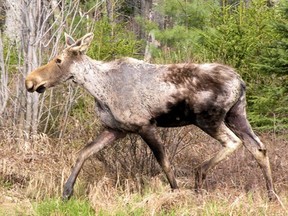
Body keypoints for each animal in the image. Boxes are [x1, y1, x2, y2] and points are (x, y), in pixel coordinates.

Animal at [25, 32, 276, 201]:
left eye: (58, 60)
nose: (30, 81)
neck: (99, 89)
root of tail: (241, 82)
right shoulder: (117, 129)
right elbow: (83, 152)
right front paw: (66, 192)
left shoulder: (144, 125)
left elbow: (164, 162)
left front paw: (176, 192)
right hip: (236, 114)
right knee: (258, 147)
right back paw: (271, 194)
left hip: (208, 118)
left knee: (233, 142)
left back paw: (198, 178)